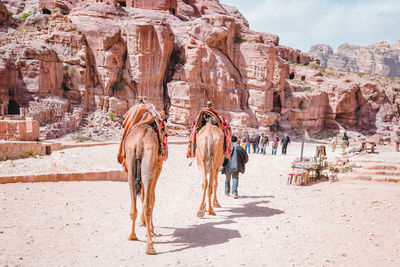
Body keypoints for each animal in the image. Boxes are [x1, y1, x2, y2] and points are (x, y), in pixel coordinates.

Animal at [124, 123, 163, 255]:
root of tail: (139, 141)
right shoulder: (158, 165)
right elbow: (151, 197)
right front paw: (151, 229)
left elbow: (143, 196)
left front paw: (144, 224)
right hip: (149, 165)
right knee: (148, 203)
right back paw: (150, 246)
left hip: (131, 162)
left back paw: (132, 236)